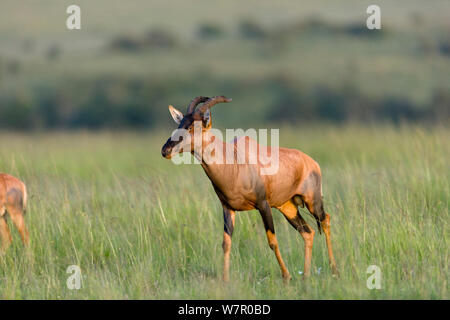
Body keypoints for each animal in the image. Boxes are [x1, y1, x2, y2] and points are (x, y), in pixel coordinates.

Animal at [162, 96, 338, 282]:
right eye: (179, 124)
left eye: (192, 127)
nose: (165, 150)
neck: (234, 159)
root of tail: (312, 162)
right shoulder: (228, 208)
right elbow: (226, 243)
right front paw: (225, 280)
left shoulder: (263, 205)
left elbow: (272, 241)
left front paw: (287, 276)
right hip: (287, 207)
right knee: (308, 233)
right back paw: (305, 276)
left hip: (313, 202)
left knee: (325, 220)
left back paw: (334, 270)